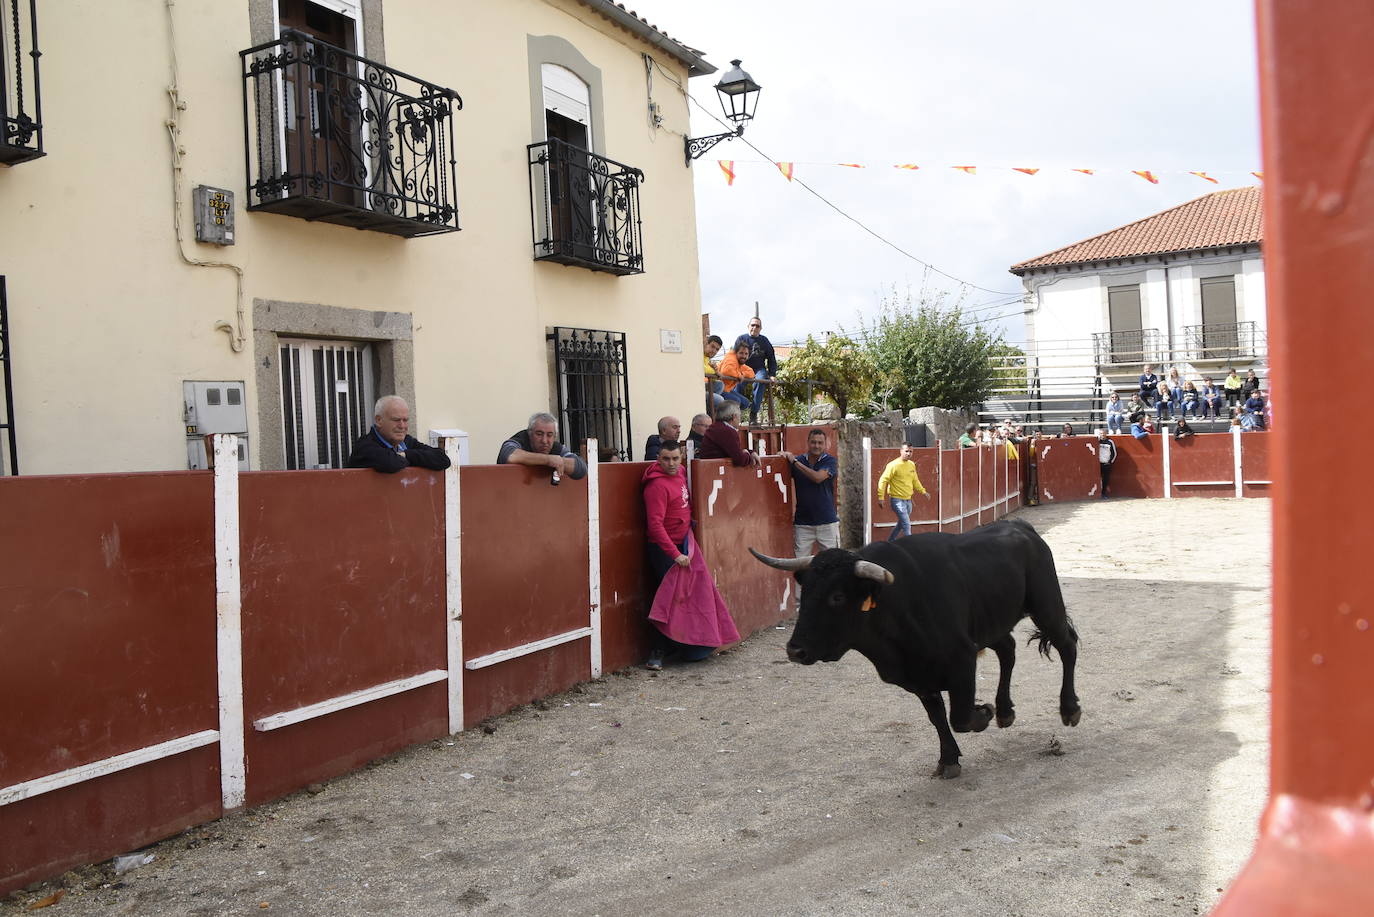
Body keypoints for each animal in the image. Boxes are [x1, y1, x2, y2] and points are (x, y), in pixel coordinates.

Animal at [758, 519, 1077, 780]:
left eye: (837, 596)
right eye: (806, 591)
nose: (795, 651)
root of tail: (1020, 526)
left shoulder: (962, 659)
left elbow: (960, 718)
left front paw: (983, 712)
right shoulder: (918, 677)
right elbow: (937, 717)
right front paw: (949, 759)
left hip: (1046, 607)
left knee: (1067, 645)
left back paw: (1069, 709)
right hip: (991, 621)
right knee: (1008, 650)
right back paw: (1005, 711)